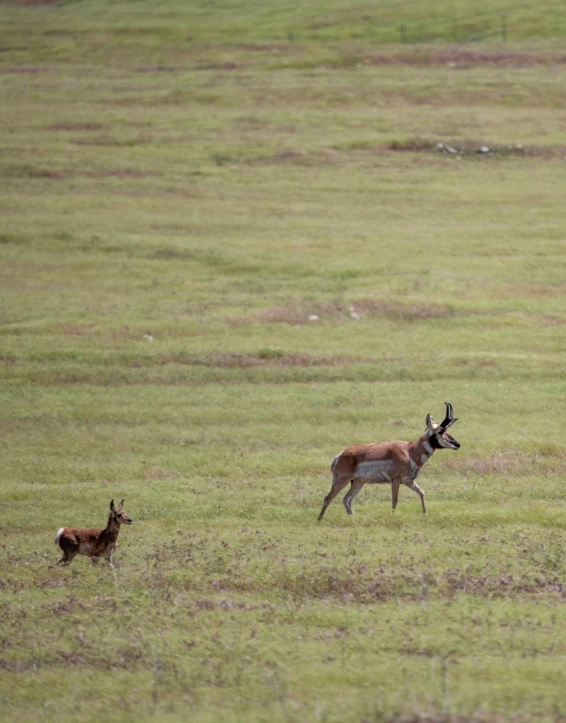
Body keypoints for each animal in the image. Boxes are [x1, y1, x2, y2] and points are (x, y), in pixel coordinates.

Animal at [320, 402, 462, 520]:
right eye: (441, 431)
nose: (457, 444)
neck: (409, 451)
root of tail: (340, 455)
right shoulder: (396, 480)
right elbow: (395, 500)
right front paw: (393, 517)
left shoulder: (409, 481)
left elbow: (422, 492)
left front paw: (425, 514)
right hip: (342, 480)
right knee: (328, 498)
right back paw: (319, 520)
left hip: (358, 483)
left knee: (346, 499)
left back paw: (352, 518)